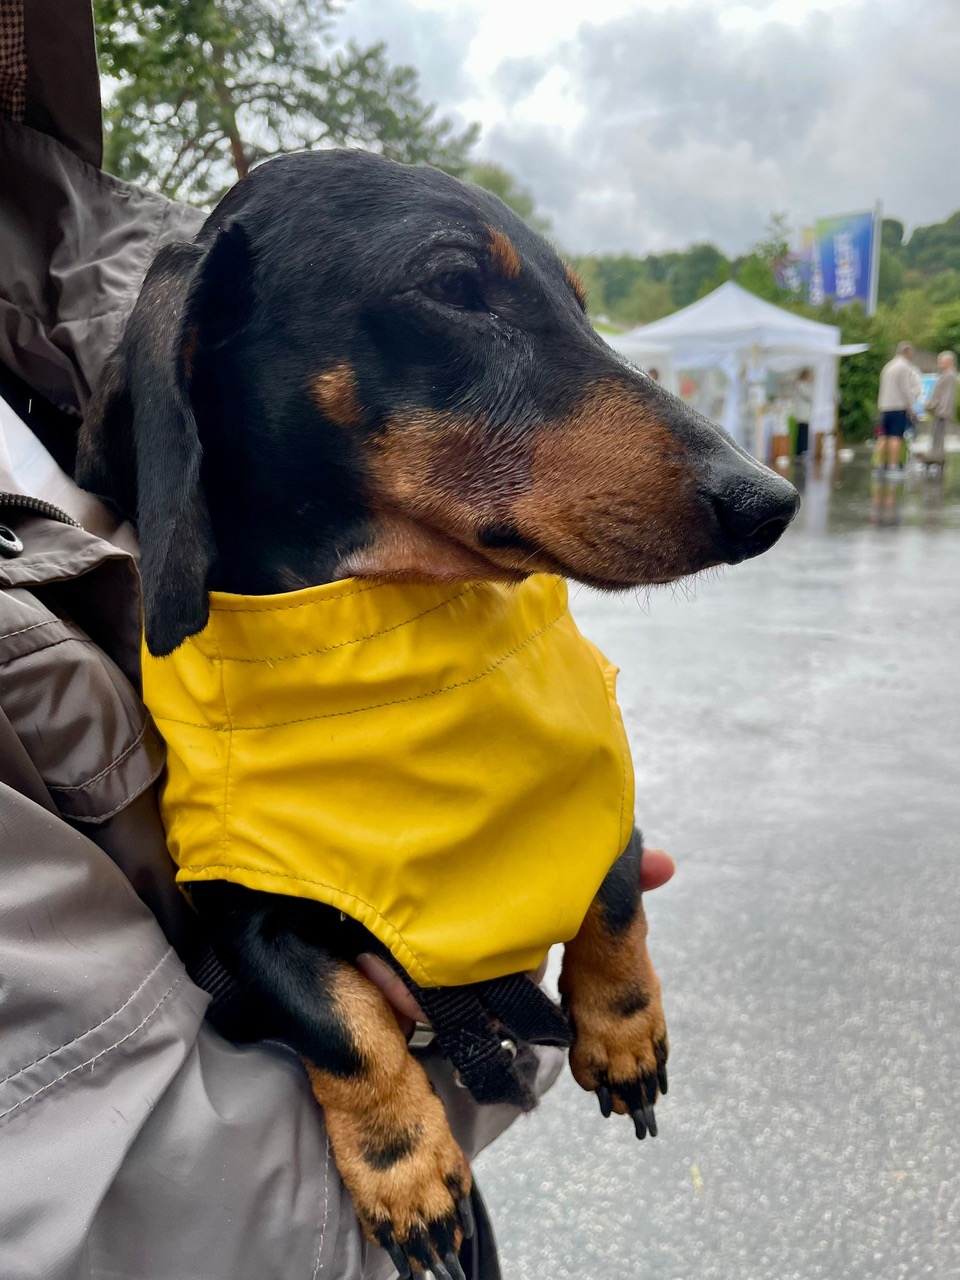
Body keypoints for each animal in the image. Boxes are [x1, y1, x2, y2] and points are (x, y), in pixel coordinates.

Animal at [77, 149, 798, 1279]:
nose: (770, 499)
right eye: (454, 284)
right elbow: (344, 1026)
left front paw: (624, 1031)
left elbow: (615, 893)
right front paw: (404, 1170)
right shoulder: (242, 907)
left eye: (580, 301)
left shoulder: (606, 788)